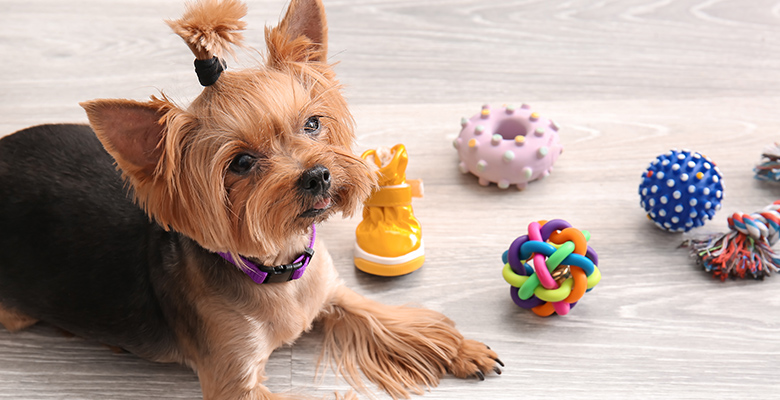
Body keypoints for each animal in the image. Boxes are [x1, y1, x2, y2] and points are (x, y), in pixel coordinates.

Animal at [0, 1, 500, 398]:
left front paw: (462, 349)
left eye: (312, 123)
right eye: (240, 162)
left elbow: (387, 318)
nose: (318, 174)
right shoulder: (234, 378)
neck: (277, 268)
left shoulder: (331, 291)